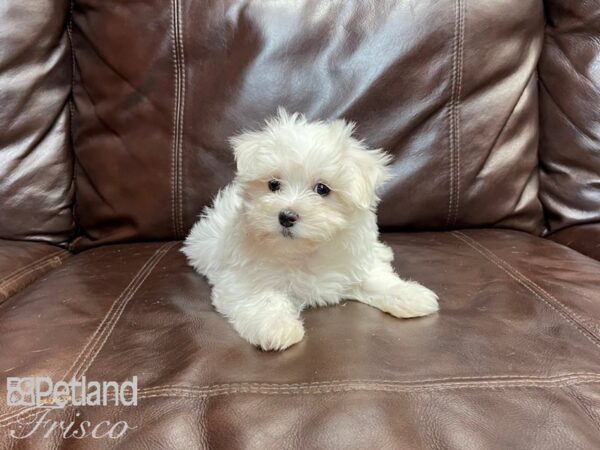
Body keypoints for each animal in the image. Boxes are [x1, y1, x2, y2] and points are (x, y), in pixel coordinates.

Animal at [180, 110, 438, 352]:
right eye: (273, 184)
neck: (304, 250)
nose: (286, 216)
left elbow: (377, 279)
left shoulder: (353, 262)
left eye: (322, 189)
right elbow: (263, 296)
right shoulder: (241, 276)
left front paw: (410, 295)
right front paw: (277, 327)